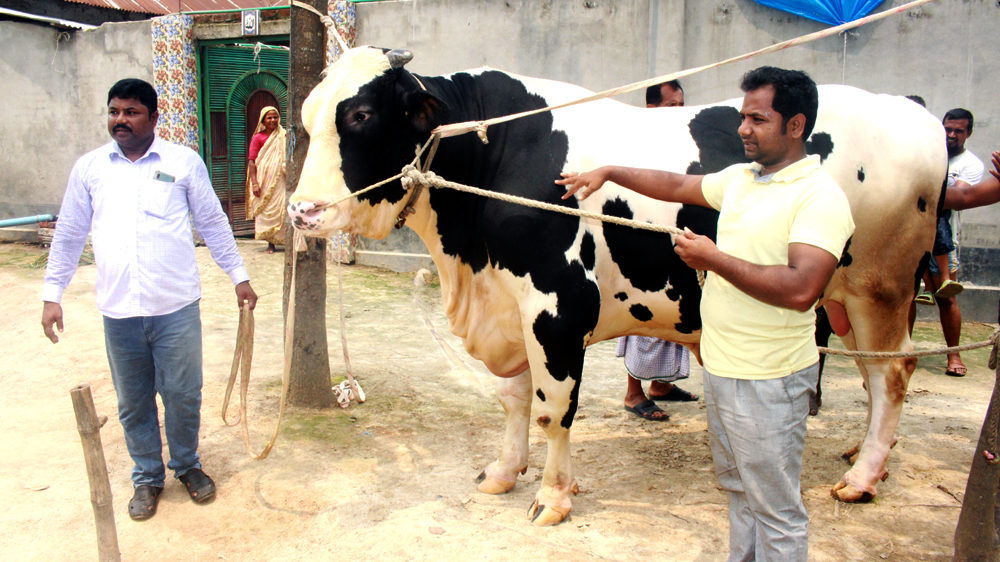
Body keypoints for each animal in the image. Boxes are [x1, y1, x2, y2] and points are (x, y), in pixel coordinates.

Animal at [288, 46, 944, 524]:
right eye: (308, 115)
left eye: (362, 115)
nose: (301, 211)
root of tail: (911, 111)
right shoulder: (508, 307)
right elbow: (512, 399)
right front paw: (503, 472)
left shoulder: (556, 309)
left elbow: (554, 408)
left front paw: (553, 496)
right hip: (846, 298)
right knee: (873, 376)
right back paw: (867, 457)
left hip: (880, 288)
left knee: (892, 373)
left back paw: (861, 478)